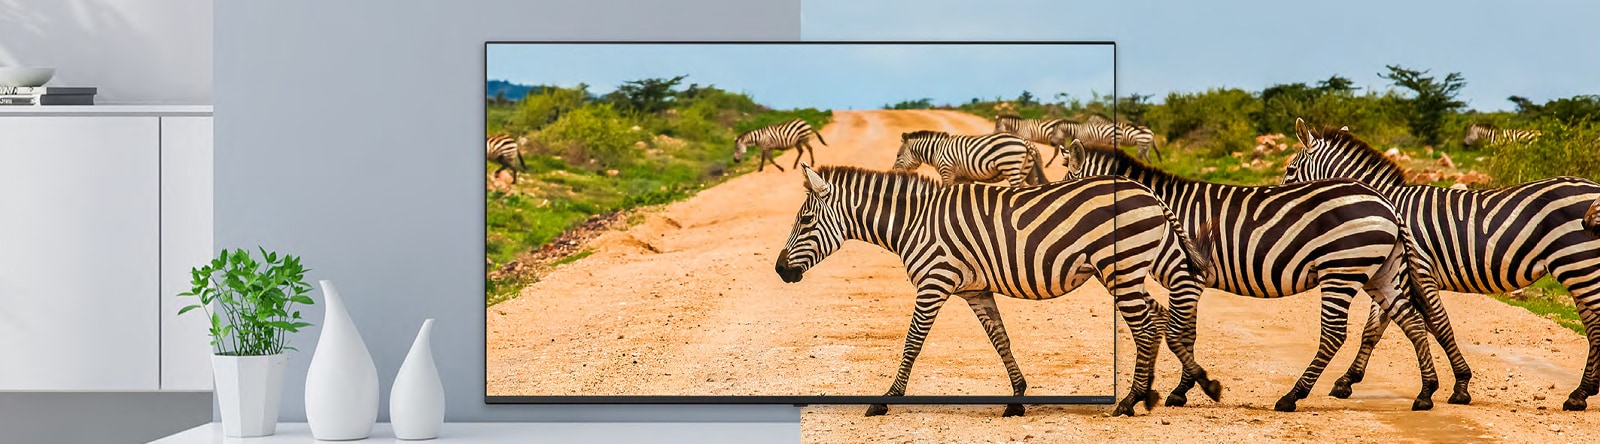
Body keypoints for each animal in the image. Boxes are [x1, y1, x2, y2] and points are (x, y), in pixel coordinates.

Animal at [774, 162, 1209, 415]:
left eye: (806, 220)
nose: (779, 270)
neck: (915, 222)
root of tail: (1147, 192)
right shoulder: (974, 290)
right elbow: (1000, 339)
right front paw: (1017, 398)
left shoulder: (933, 282)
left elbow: (912, 343)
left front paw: (885, 401)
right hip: (1123, 270)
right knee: (1160, 316)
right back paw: (1172, 388)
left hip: (1120, 268)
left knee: (1147, 326)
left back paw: (1132, 400)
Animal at [889, 131, 1049, 187]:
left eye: (898, 155)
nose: (894, 171)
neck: (936, 150)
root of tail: (1024, 141)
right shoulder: (963, 177)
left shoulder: (946, 170)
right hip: (1027, 170)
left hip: (1010, 165)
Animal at [1056, 139, 1459, 412]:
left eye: (1068, 186)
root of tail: (1386, 201)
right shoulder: (1191, 282)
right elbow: (1187, 332)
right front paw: (1187, 388)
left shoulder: (1186, 276)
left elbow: (1180, 333)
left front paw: (1186, 389)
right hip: (1380, 271)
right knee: (1412, 320)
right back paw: (1426, 393)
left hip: (1341, 270)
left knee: (1334, 335)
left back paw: (1292, 396)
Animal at [1280, 118, 1600, 412]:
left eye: (1290, 171)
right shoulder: (1393, 274)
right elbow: (1374, 330)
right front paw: (1347, 381)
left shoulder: (1417, 268)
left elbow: (1438, 325)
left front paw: (1459, 386)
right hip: (1579, 268)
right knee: (1593, 324)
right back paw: (1582, 392)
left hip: (1579, 265)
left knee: (1594, 324)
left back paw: (1581, 394)